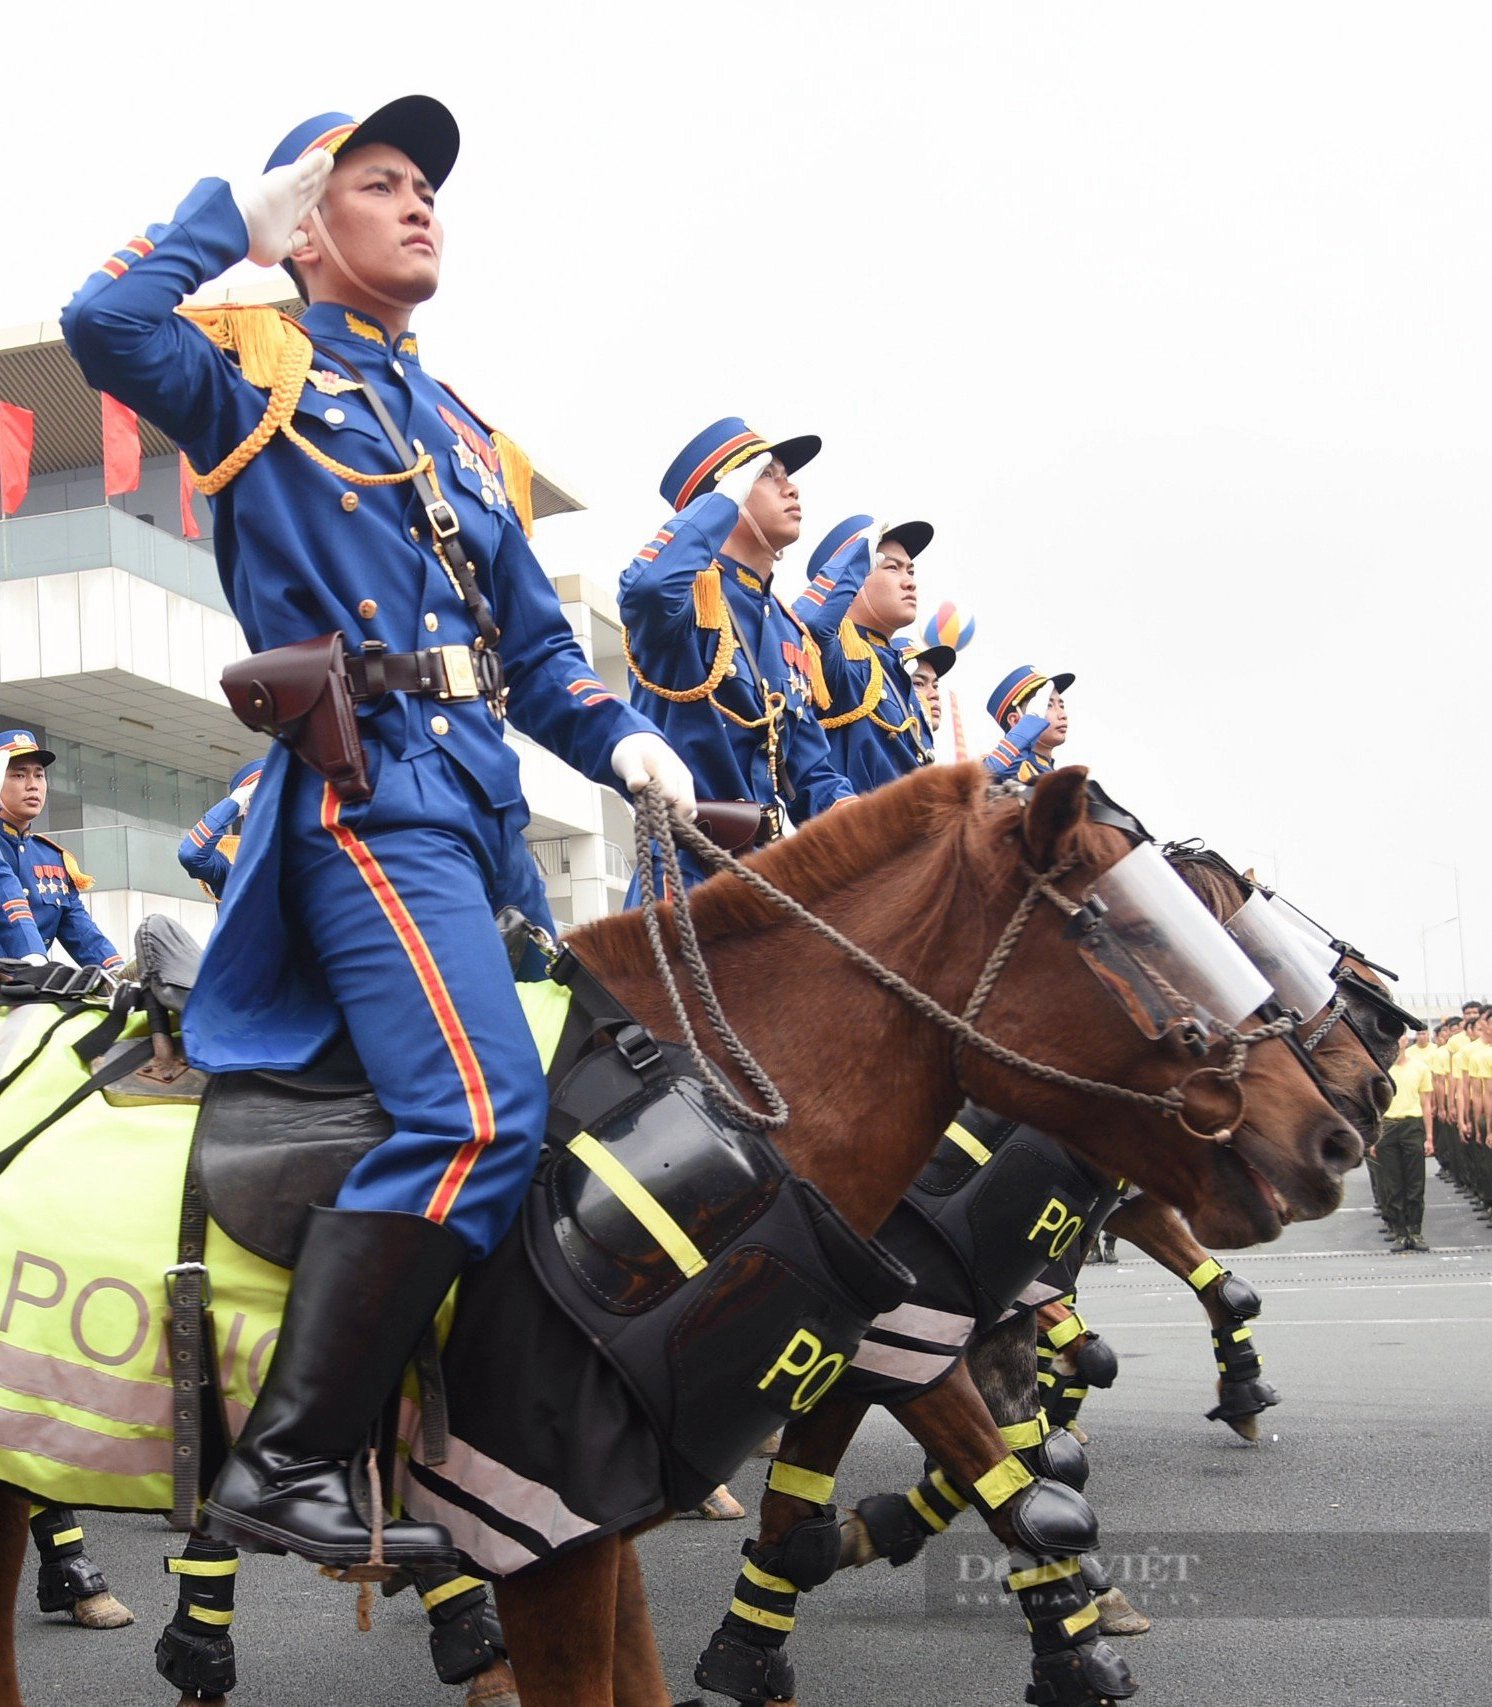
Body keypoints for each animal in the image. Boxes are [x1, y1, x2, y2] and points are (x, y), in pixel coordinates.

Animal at [0, 764, 1358, 1707]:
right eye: (1141, 932)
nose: (1334, 1134)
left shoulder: (751, 1426)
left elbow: (995, 1485)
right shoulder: (558, 1515)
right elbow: (1014, 1486)